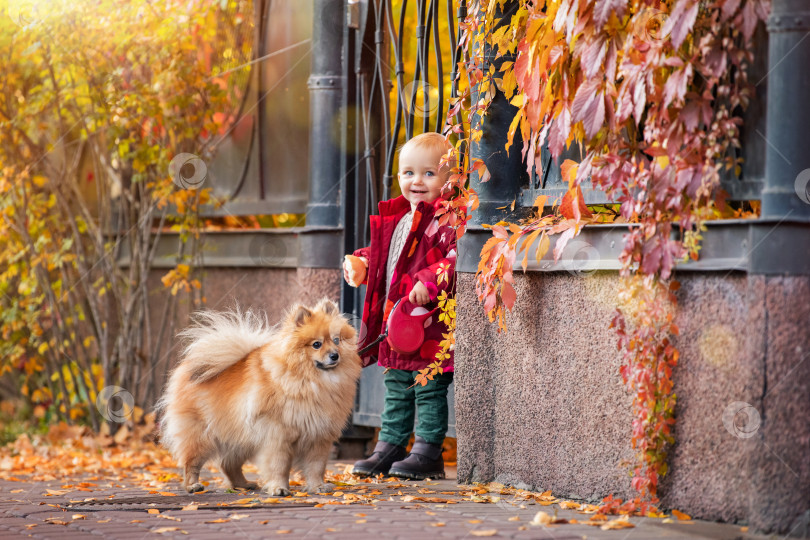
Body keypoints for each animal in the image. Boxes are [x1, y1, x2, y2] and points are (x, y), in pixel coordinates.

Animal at [156, 298, 358, 496]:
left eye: (337, 340)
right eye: (317, 344)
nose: (335, 355)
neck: (309, 380)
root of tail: (187, 367)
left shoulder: (318, 436)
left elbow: (316, 466)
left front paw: (318, 486)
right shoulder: (277, 435)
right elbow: (278, 465)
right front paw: (278, 488)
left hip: (240, 436)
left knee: (228, 463)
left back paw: (243, 484)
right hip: (202, 436)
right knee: (192, 462)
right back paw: (192, 485)